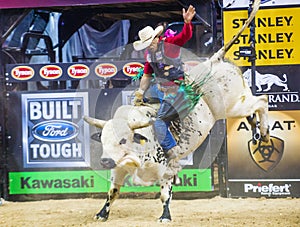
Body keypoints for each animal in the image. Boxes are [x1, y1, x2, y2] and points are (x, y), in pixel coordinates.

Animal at [84, 0, 268, 222]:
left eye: (122, 140)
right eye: (102, 140)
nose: (105, 160)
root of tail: (212, 61)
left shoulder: (166, 168)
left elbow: (165, 194)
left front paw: (165, 215)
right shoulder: (119, 168)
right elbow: (113, 192)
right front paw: (101, 213)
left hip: (233, 105)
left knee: (262, 101)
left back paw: (264, 132)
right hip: (236, 104)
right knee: (253, 108)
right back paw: (256, 128)